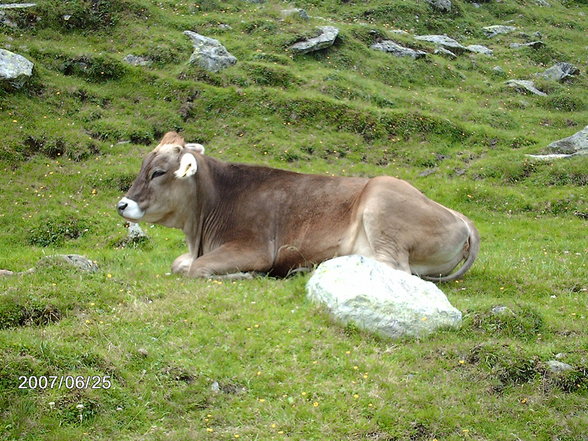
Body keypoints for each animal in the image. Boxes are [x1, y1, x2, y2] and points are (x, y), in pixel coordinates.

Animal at [117, 131, 480, 282]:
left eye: (158, 172)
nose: (122, 204)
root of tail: (461, 216)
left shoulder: (254, 247)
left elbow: (196, 269)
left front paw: (247, 275)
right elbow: (180, 264)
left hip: (382, 199)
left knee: (394, 268)